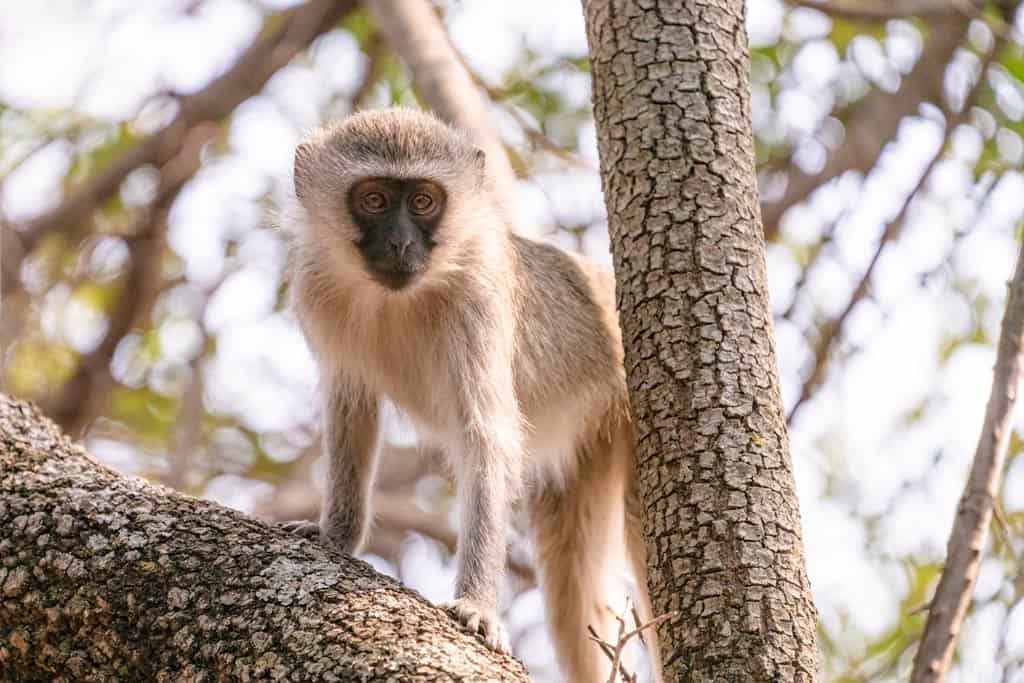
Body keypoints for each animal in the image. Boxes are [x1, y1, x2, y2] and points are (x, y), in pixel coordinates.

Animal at [280, 107, 661, 683]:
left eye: (422, 202)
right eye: (374, 199)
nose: (400, 244)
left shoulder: (477, 297)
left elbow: (486, 435)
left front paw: (477, 606)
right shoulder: (316, 287)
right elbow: (352, 411)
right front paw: (335, 537)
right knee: (570, 588)